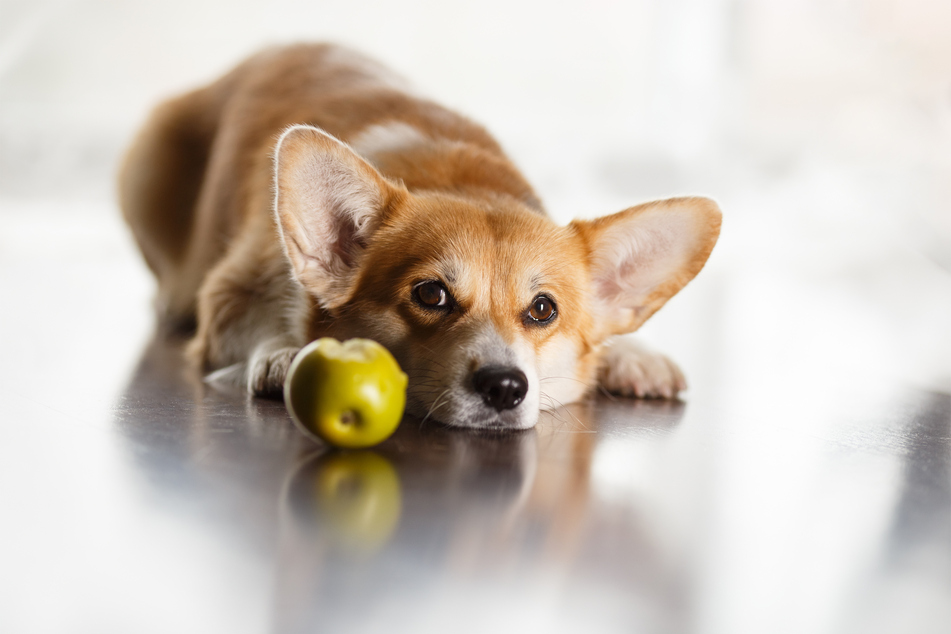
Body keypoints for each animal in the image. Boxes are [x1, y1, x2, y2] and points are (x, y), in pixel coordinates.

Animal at [119, 44, 716, 430]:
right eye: (431, 294)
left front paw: (631, 355)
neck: (458, 180)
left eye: (543, 309)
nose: (505, 387)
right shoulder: (231, 291)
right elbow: (255, 324)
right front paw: (283, 354)